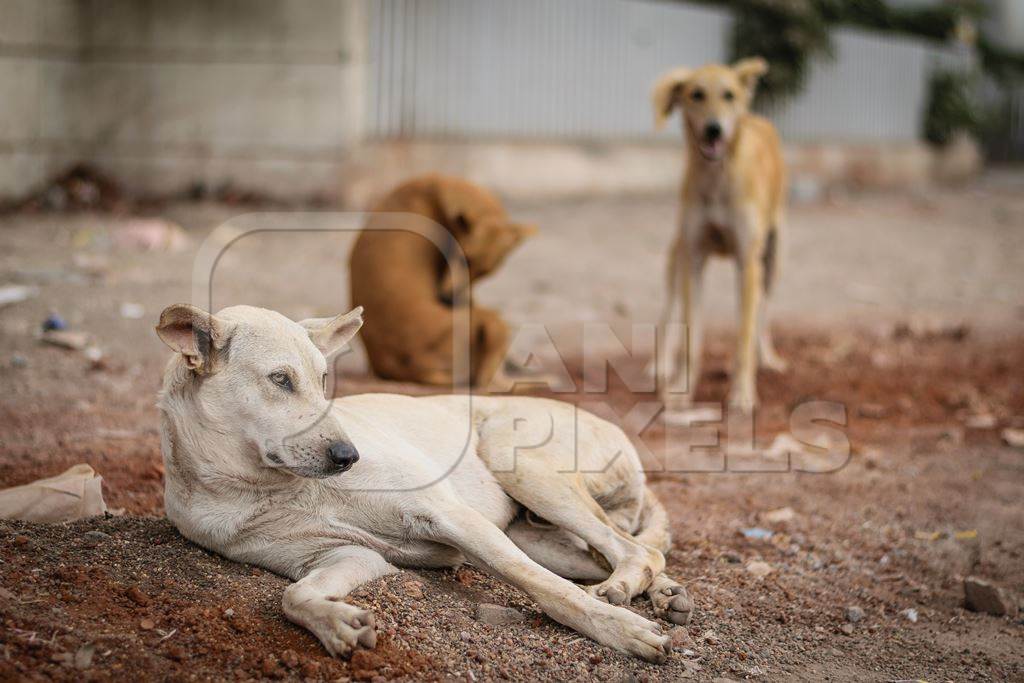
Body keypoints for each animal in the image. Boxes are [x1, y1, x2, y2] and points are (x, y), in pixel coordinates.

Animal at [651, 57, 786, 411]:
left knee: (763, 311)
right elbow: (690, 334)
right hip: (677, 255)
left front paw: (742, 393)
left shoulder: (747, 263)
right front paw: (681, 390)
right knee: (668, 310)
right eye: (696, 94)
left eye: (729, 95)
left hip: (772, 258)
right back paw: (659, 364)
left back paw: (768, 356)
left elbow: (744, 335)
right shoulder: (694, 258)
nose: (714, 129)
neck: (716, 180)